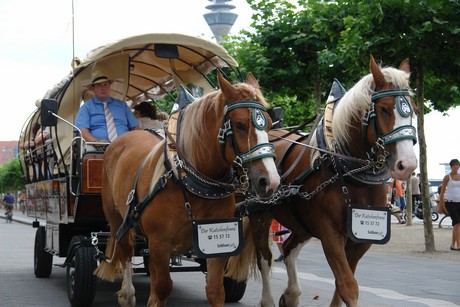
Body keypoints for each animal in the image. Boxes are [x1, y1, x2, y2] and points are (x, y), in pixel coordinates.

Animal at [95, 71, 278, 306]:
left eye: (270, 124)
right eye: (239, 125)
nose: (270, 181)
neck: (189, 180)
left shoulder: (220, 242)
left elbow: (215, 291)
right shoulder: (159, 244)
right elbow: (162, 289)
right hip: (117, 218)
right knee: (125, 251)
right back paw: (127, 293)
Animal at [228, 56, 418, 307]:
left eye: (412, 109)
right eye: (384, 109)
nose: (408, 164)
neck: (347, 173)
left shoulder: (361, 239)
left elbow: (342, 283)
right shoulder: (330, 235)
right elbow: (348, 286)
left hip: (301, 222)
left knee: (288, 249)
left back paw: (291, 294)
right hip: (260, 214)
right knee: (265, 259)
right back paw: (268, 299)